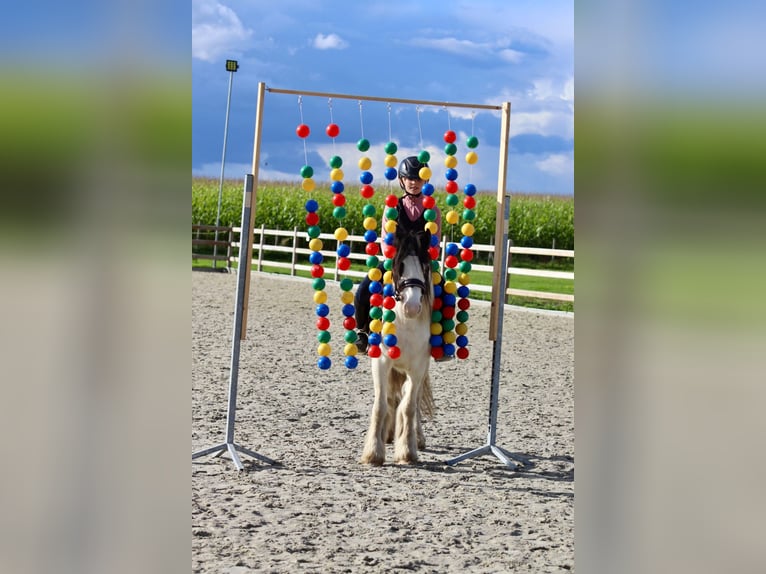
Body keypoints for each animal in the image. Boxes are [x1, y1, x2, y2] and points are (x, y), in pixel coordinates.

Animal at [362, 230, 436, 468]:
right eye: (399, 266)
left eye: (424, 266)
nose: (412, 306)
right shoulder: (381, 362)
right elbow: (381, 404)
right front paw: (373, 453)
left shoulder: (418, 368)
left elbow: (410, 406)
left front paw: (407, 451)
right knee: (392, 398)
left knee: (410, 399)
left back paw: (417, 438)